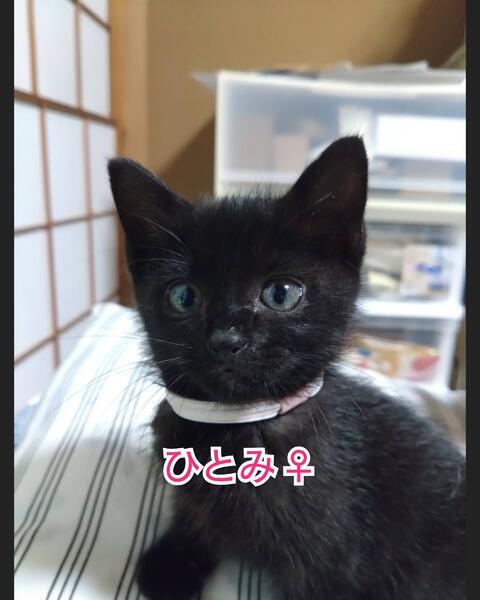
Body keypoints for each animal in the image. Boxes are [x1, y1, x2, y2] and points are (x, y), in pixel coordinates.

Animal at [109, 137, 465, 600]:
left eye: (280, 294)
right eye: (184, 296)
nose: (226, 339)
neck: (238, 426)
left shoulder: (331, 565)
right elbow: (194, 515)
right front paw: (172, 564)